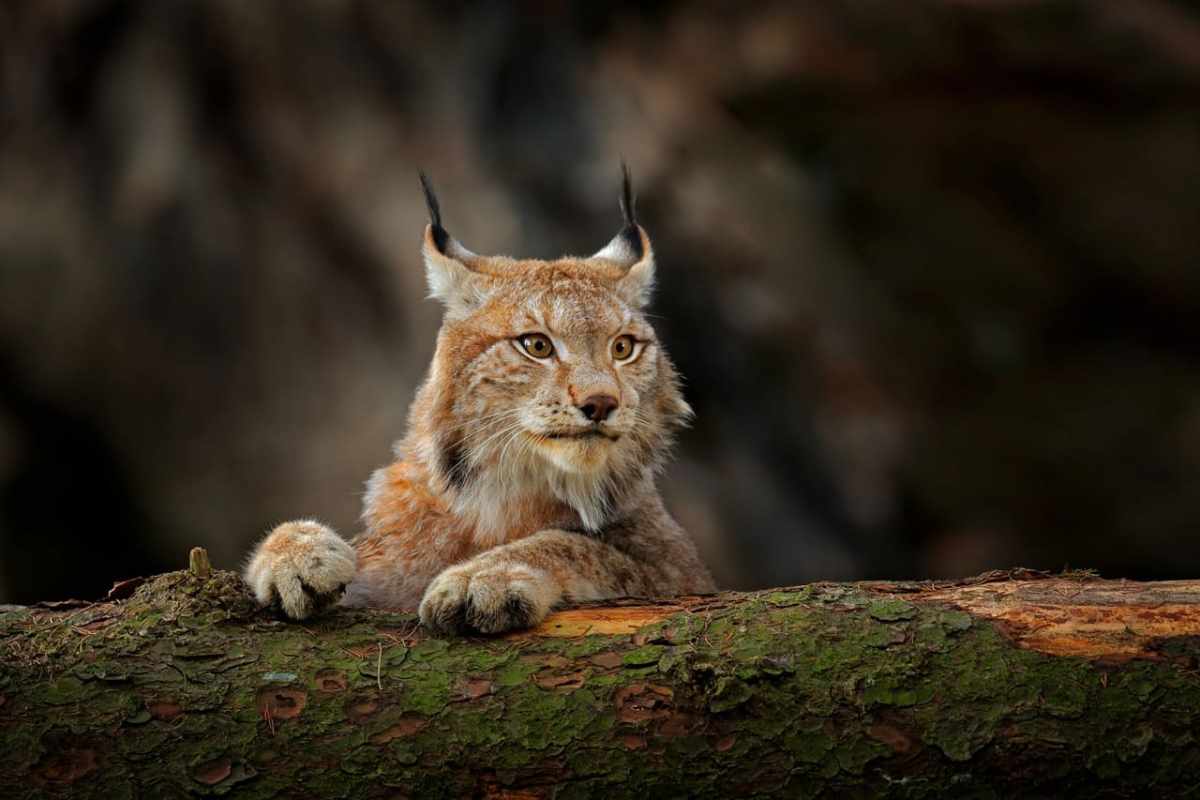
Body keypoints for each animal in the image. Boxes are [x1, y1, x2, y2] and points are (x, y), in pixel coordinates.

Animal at [243, 166, 715, 634]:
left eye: (622, 348)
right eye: (537, 346)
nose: (601, 402)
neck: (501, 489)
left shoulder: (679, 572)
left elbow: (580, 546)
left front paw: (483, 575)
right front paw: (297, 551)